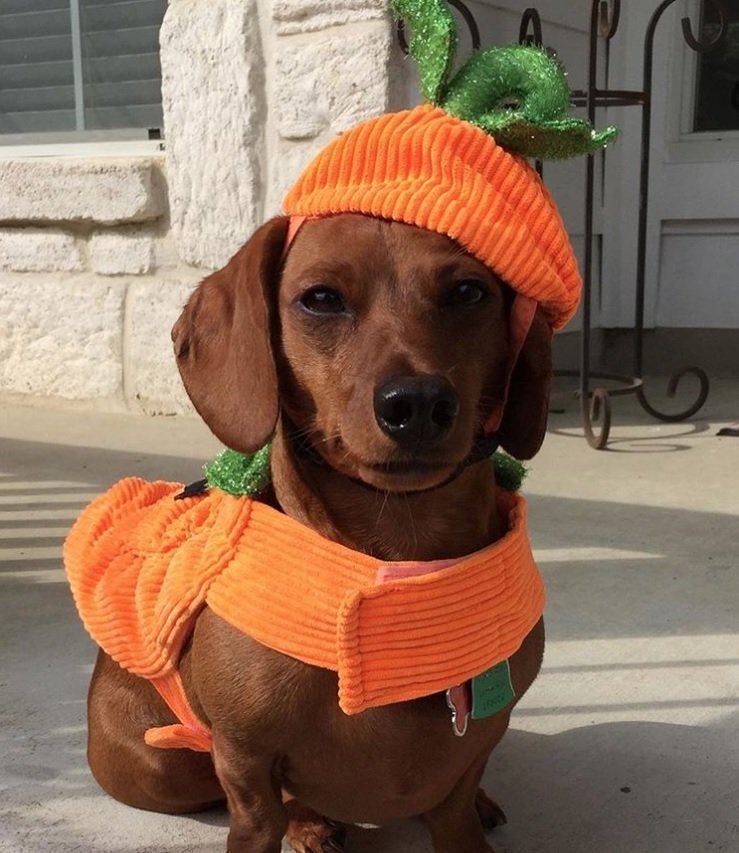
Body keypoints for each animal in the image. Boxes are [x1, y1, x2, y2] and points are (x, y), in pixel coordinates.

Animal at [85, 211, 548, 844]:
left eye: (468, 292)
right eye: (322, 299)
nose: (417, 404)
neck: (399, 552)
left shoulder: (475, 749)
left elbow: (456, 809)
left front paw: (471, 808)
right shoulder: (244, 762)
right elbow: (258, 813)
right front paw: (298, 821)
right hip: (162, 769)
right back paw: (307, 823)